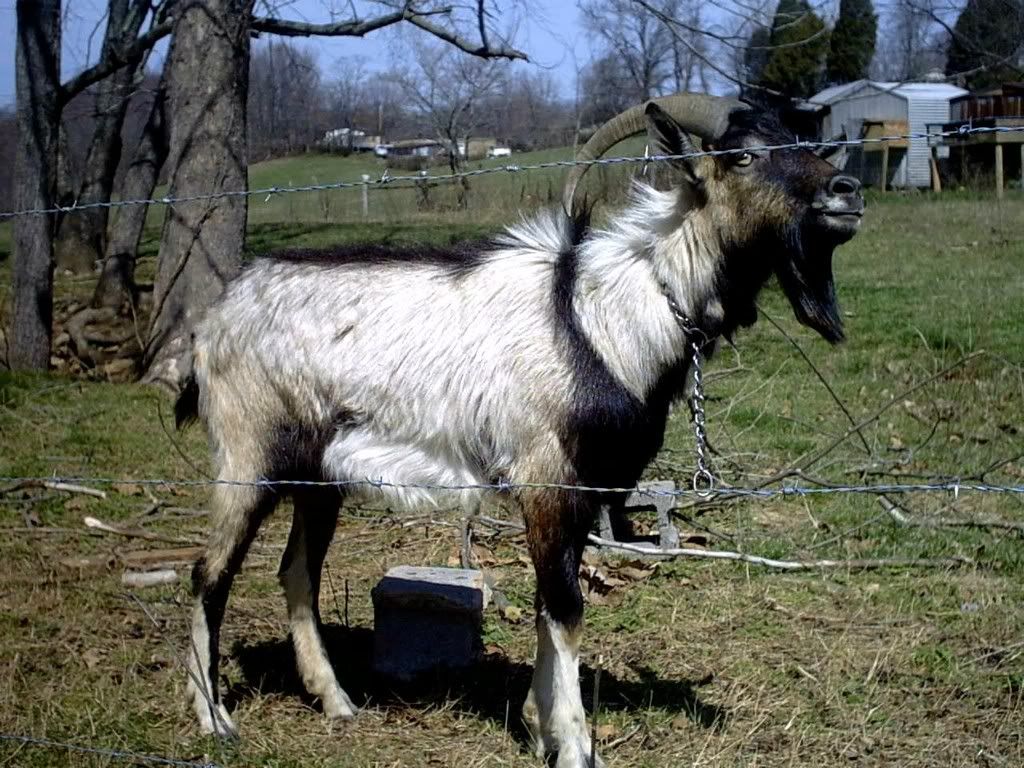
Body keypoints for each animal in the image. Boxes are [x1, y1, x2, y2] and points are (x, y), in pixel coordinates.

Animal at [177, 93, 863, 768]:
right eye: (741, 155)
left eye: (805, 144)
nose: (847, 191)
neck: (602, 317)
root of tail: (214, 321)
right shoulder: (545, 477)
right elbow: (565, 611)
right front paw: (575, 746)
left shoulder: (584, 492)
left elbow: (544, 605)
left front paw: (538, 727)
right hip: (247, 454)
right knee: (209, 573)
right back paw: (215, 719)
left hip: (318, 477)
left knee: (297, 571)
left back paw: (338, 702)